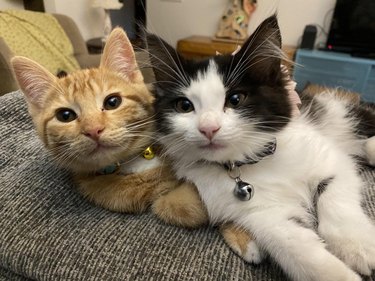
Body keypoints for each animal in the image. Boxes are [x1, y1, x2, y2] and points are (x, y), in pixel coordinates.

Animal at [11, 27, 258, 262]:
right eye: (65, 116)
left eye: (112, 102)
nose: (93, 130)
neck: (133, 161)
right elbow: (181, 206)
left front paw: (243, 234)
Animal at [148, 14, 375, 280]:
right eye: (184, 106)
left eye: (235, 100)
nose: (208, 129)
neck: (249, 161)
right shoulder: (261, 213)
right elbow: (291, 243)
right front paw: (336, 272)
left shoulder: (331, 158)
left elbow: (334, 196)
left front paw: (358, 246)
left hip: (343, 115)